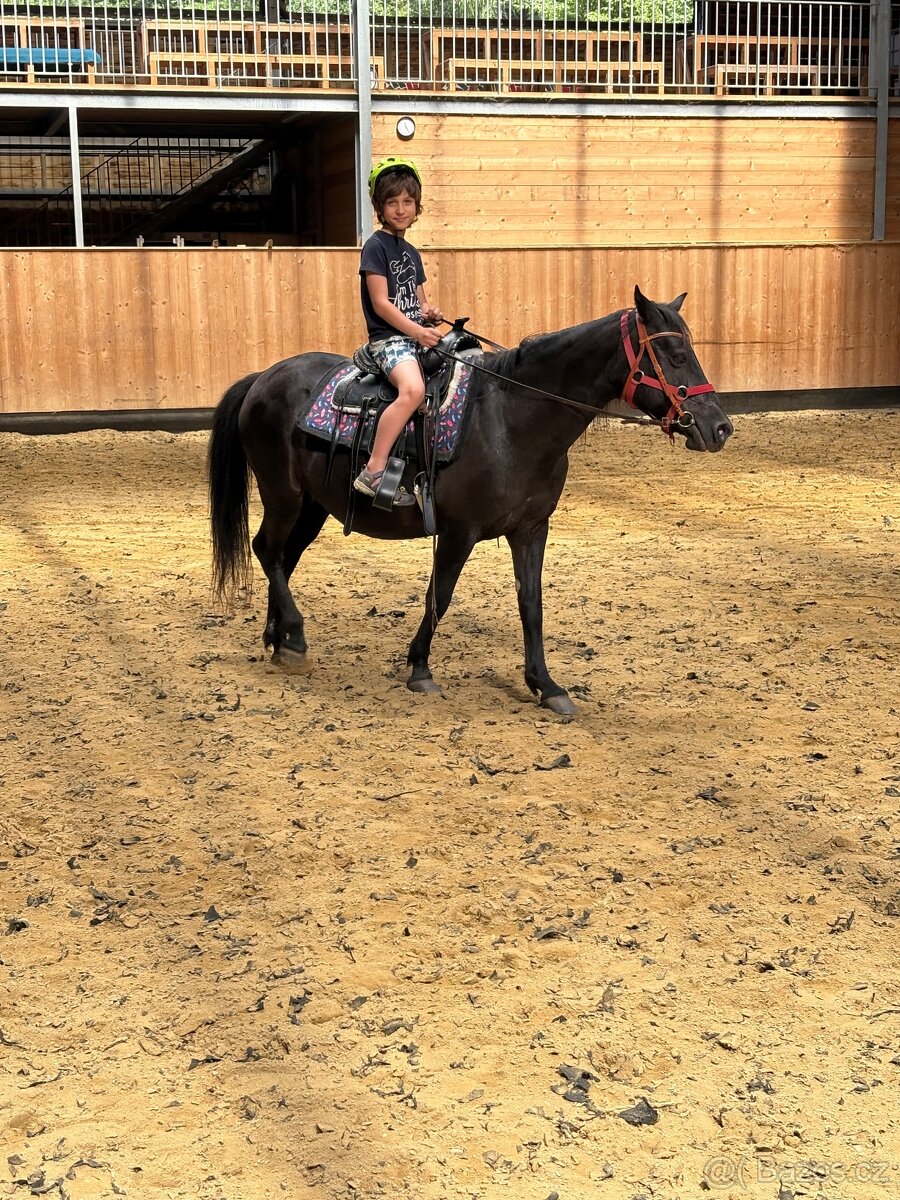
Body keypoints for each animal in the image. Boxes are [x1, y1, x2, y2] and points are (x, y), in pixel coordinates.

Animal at [208, 286, 733, 715]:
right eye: (672, 351)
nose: (720, 427)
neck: (510, 419)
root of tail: (263, 378)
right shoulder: (459, 532)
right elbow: (439, 595)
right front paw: (420, 668)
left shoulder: (531, 529)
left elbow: (531, 604)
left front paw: (546, 686)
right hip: (283, 494)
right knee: (267, 550)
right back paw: (293, 636)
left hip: (313, 506)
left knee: (284, 558)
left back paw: (278, 639)